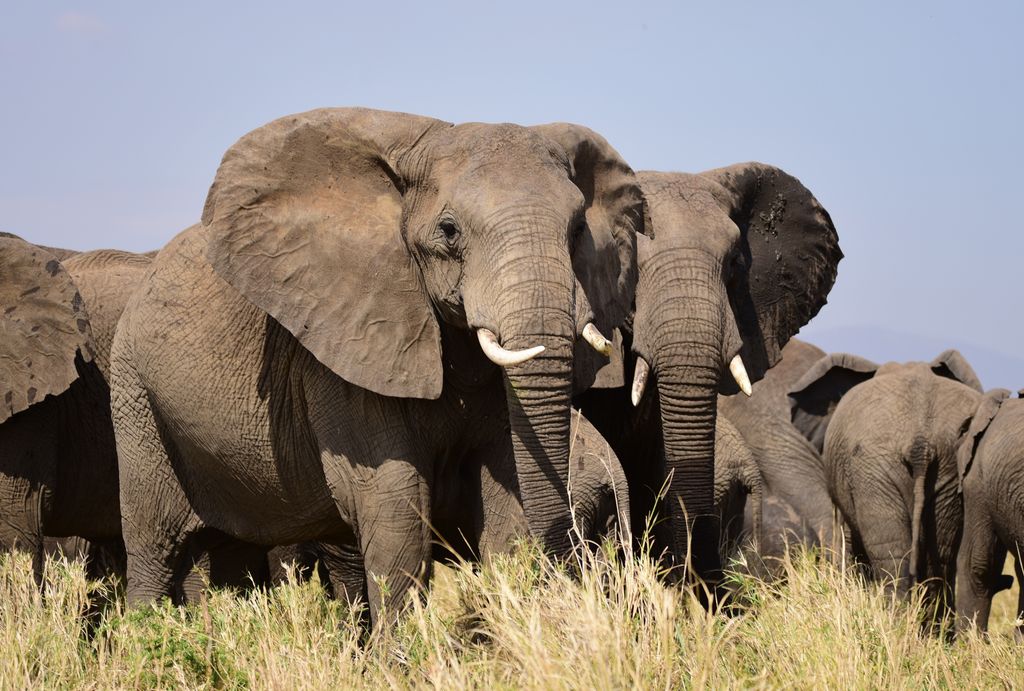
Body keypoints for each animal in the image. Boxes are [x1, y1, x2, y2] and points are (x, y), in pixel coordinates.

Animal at [110, 108, 638, 626]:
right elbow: (394, 510)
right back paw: (145, 634)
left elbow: (505, 501)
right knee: (155, 549)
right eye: (449, 231)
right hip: (135, 399)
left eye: (577, 230)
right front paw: (404, 651)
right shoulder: (343, 354)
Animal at [786, 348, 987, 614]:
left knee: (893, 558)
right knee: (940, 557)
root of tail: (920, 441)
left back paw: (896, 620)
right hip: (947, 468)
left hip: (873, 470)